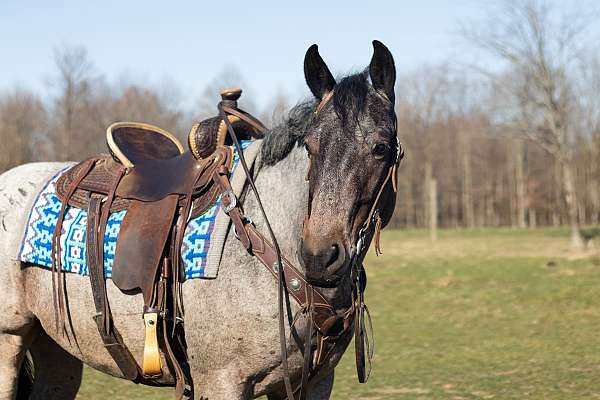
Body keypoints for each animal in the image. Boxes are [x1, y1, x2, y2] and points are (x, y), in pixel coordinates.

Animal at [1, 41, 404, 400]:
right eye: (310, 146)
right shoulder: (222, 382)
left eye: (381, 147)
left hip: (56, 348)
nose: (321, 256)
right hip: (10, 341)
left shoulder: (315, 383)